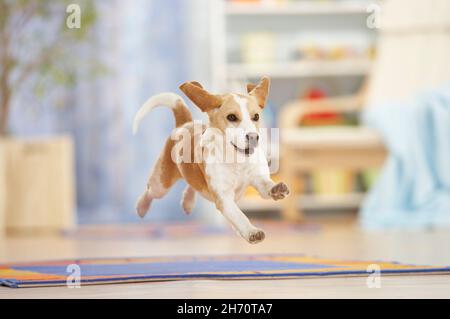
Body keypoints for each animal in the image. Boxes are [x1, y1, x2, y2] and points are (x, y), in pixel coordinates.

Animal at [132, 77, 290, 245]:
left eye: (256, 117)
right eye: (232, 117)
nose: (254, 137)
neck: (238, 161)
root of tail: (184, 124)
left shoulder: (258, 178)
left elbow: (266, 186)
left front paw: (276, 189)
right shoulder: (224, 198)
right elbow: (239, 216)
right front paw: (251, 231)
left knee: (192, 185)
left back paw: (187, 202)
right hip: (161, 184)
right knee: (150, 191)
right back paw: (141, 207)